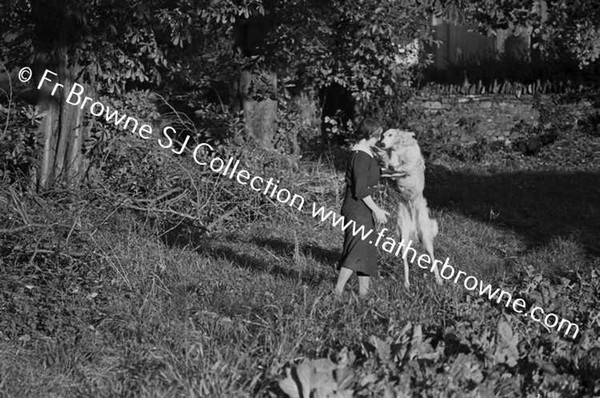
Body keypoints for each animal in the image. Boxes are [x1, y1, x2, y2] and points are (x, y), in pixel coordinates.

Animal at [372, 129, 442, 288]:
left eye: (390, 135)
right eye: (383, 136)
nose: (381, 144)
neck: (398, 149)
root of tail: (415, 230)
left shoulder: (410, 165)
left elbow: (403, 167)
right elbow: (389, 166)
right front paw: (381, 159)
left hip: (426, 238)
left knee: (433, 259)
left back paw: (439, 280)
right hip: (403, 237)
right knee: (405, 262)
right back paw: (406, 283)